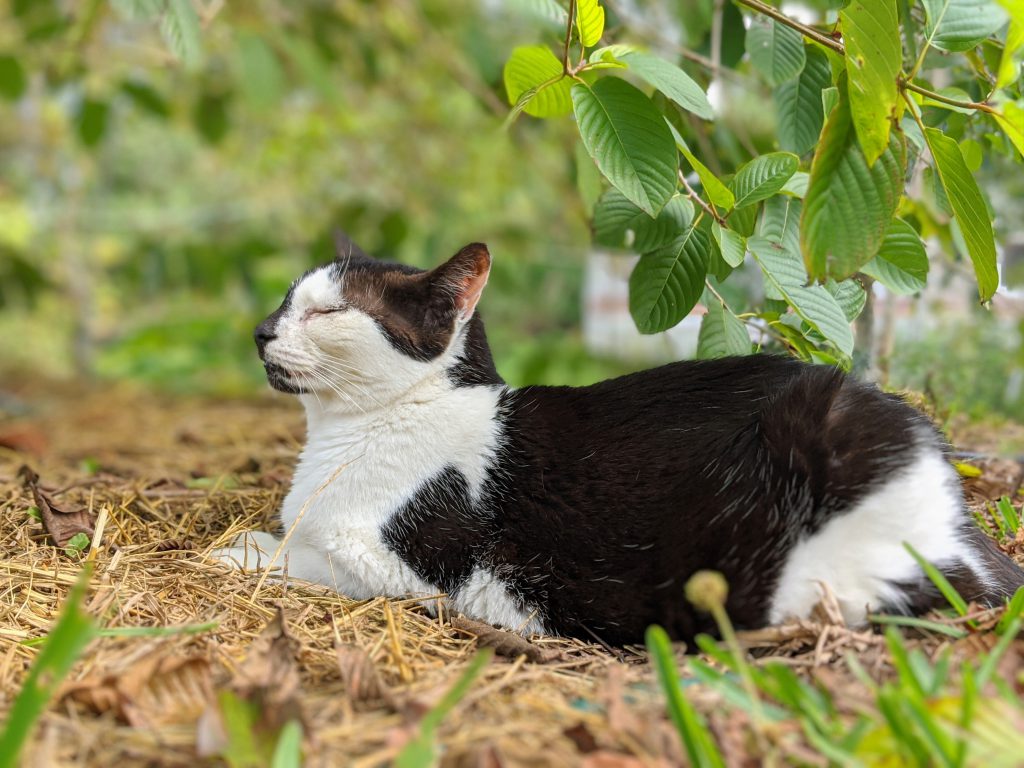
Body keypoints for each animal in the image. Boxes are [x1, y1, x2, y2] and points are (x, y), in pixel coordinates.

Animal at [216, 239, 1024, 643]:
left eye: (326, 313)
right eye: (287, 302)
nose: (258, 331)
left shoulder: (407, 569)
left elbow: (294, 556)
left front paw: (237, 550)